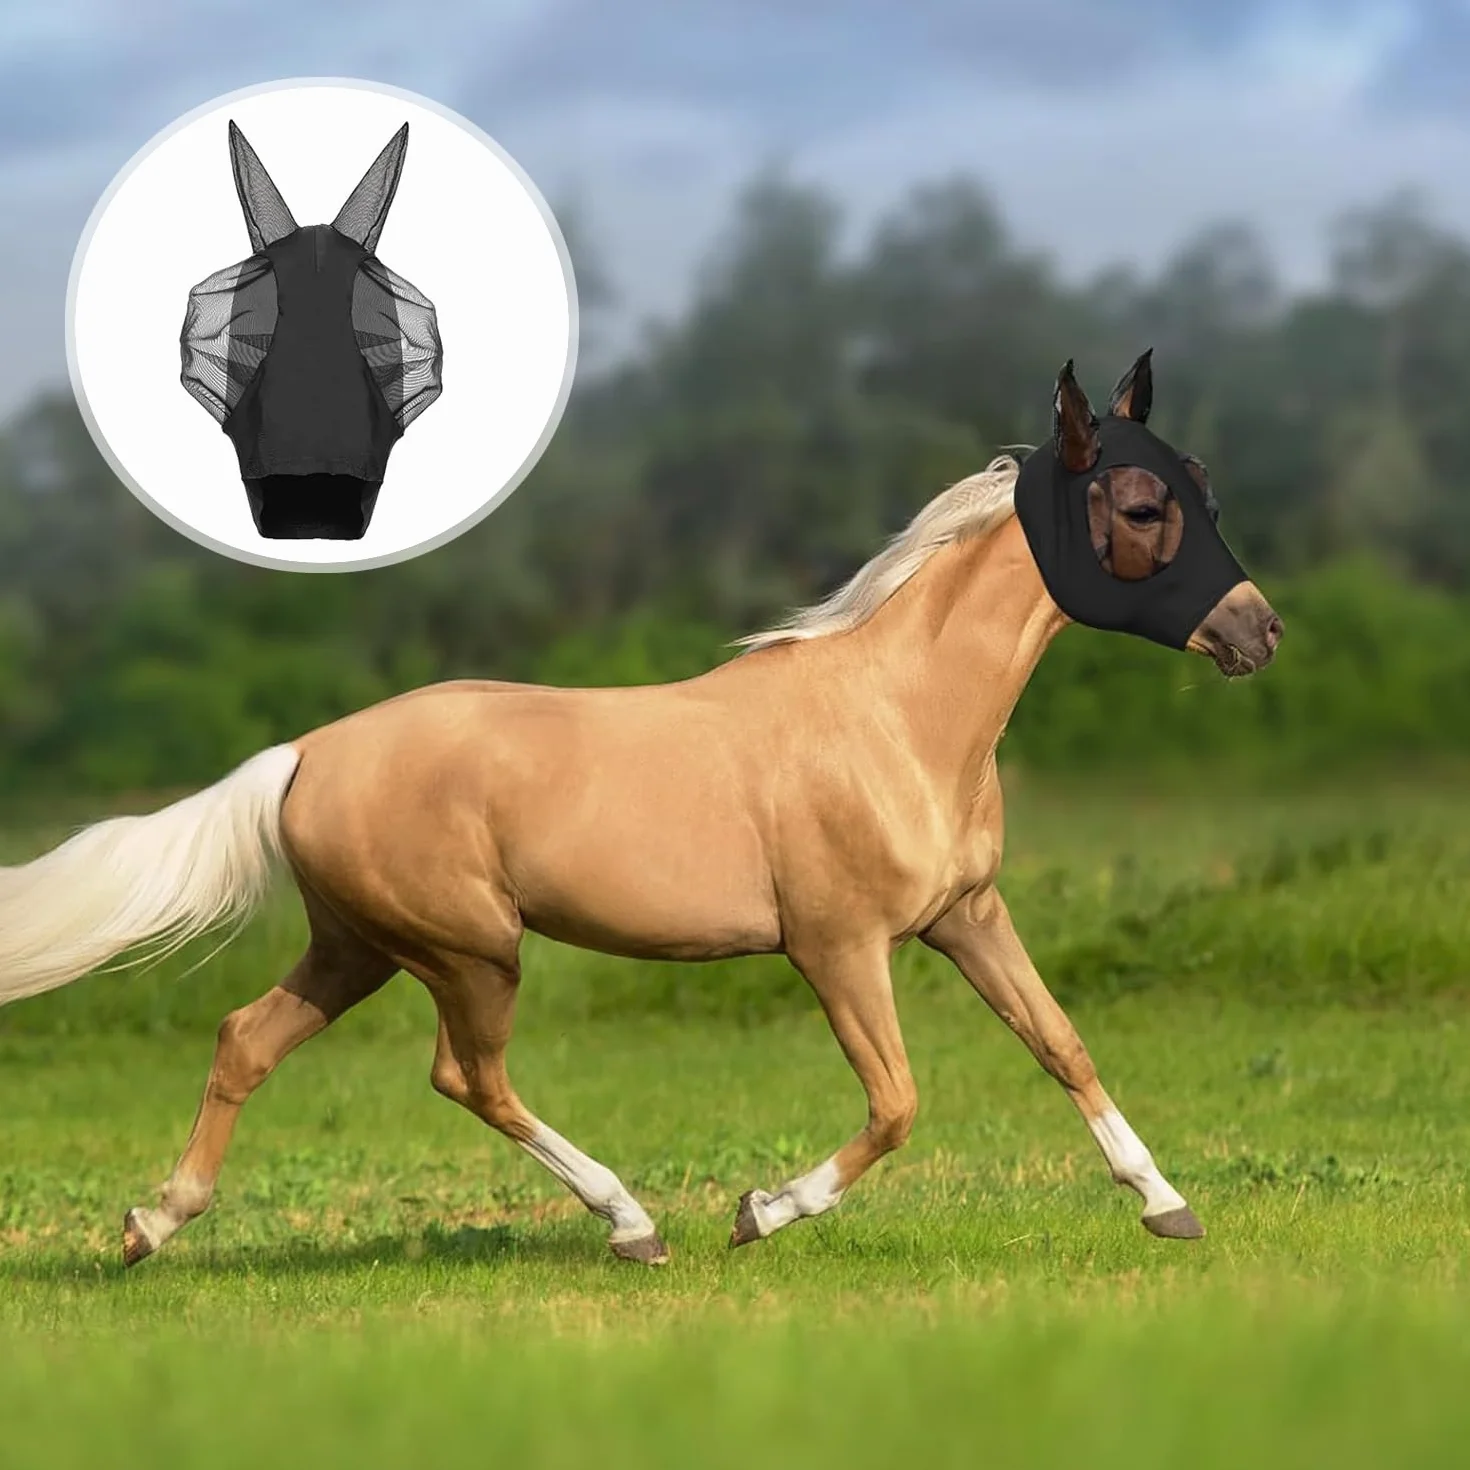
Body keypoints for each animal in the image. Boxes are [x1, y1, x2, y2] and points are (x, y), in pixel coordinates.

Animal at [0, 355, 1282, 1267]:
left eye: (1207, 483)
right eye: (1142, 504)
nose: (1258, 631)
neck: (899, 720)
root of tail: (306, 754)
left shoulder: (966, 915)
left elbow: (1060, 1043)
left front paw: (1167, 1205)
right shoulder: (839, 947)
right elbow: (898, 1103)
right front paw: (760, 1210)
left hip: (358, 946)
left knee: (247, 1040)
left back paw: (150, 1226)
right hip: (468, 952)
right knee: (466, 1078)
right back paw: (634, 1225)